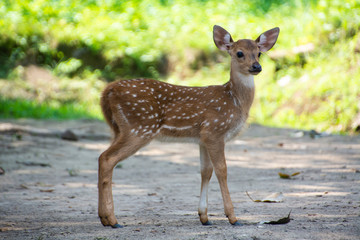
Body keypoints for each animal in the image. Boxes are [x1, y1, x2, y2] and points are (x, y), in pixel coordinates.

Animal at [99, 24, 282, 229]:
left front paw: (204, 217)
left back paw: (104, 218)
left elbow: (205, 172)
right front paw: (233, 218)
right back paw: (112, 220)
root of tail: (107, 91)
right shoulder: (215, 131)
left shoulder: (202, 139)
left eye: (259, 53)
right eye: (239, 53)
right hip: (139, 127)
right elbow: (222, 170)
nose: (256, 67)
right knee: (107, 158)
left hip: (119, 129)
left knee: (102, 157)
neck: (234, 100)